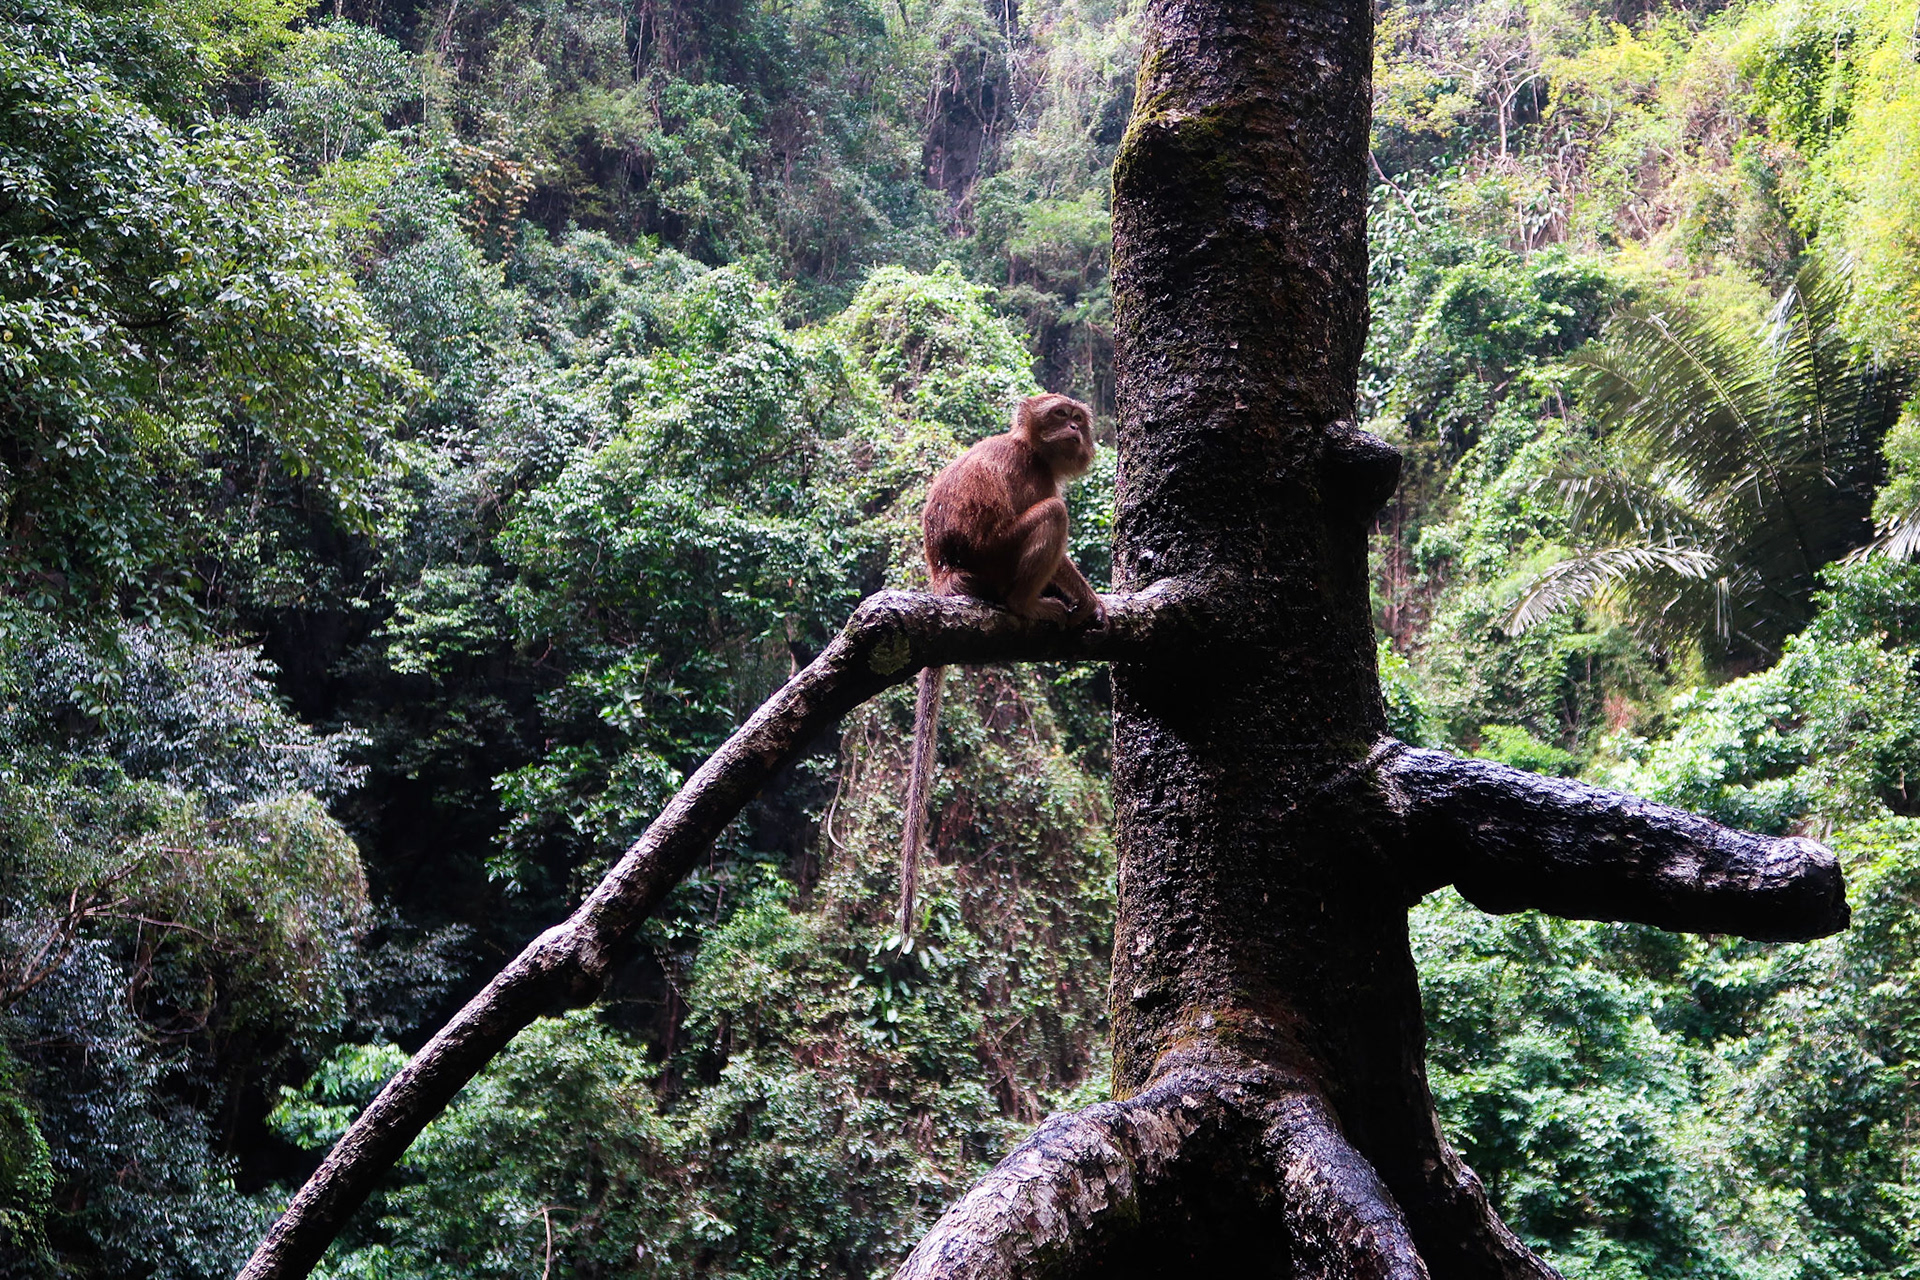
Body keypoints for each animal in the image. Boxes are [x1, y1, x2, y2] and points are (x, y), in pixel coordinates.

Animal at [897, 393, 1107, 937]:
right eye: (1061, 416)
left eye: (1078, 419)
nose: (1074, 428)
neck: (1030, 447)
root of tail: (945, 572)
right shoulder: (1035, 473)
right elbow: (1051, 511)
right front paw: (1088, 598)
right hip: (995, 560)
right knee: (1053, 514)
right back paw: (1024, 603)